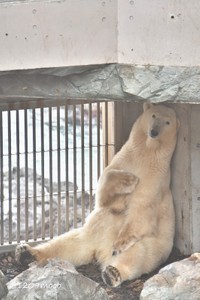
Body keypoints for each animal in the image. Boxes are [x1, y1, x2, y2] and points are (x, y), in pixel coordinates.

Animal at [14, 102, 179, 288]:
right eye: (153, 116)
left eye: (167, 122)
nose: (154, 131)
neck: (147, 153)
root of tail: (100, 252)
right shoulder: (124, 158)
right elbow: (104, 194)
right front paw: (128, 180)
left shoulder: (155, 180)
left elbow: (141, 213)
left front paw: (119, 243)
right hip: (89, 235)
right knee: (65, 244)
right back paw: (26, 252)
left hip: (150, 246)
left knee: (136, 255)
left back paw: (112, 272)